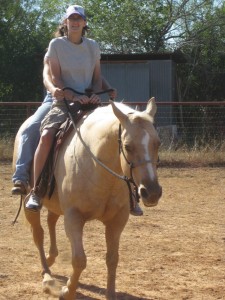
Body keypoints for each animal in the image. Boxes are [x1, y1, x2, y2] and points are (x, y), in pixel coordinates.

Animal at [11, 97, 162, 298]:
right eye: (127, 146)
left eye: (158, 143)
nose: (152, 192)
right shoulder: (74, 217)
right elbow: (79, 260)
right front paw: (67, 291)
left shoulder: (117, 220)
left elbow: (112, 258)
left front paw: (110, 294)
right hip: (30, 203)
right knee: (38, 234)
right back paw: (47, 275)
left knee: (51, 221)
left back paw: (51, 257)